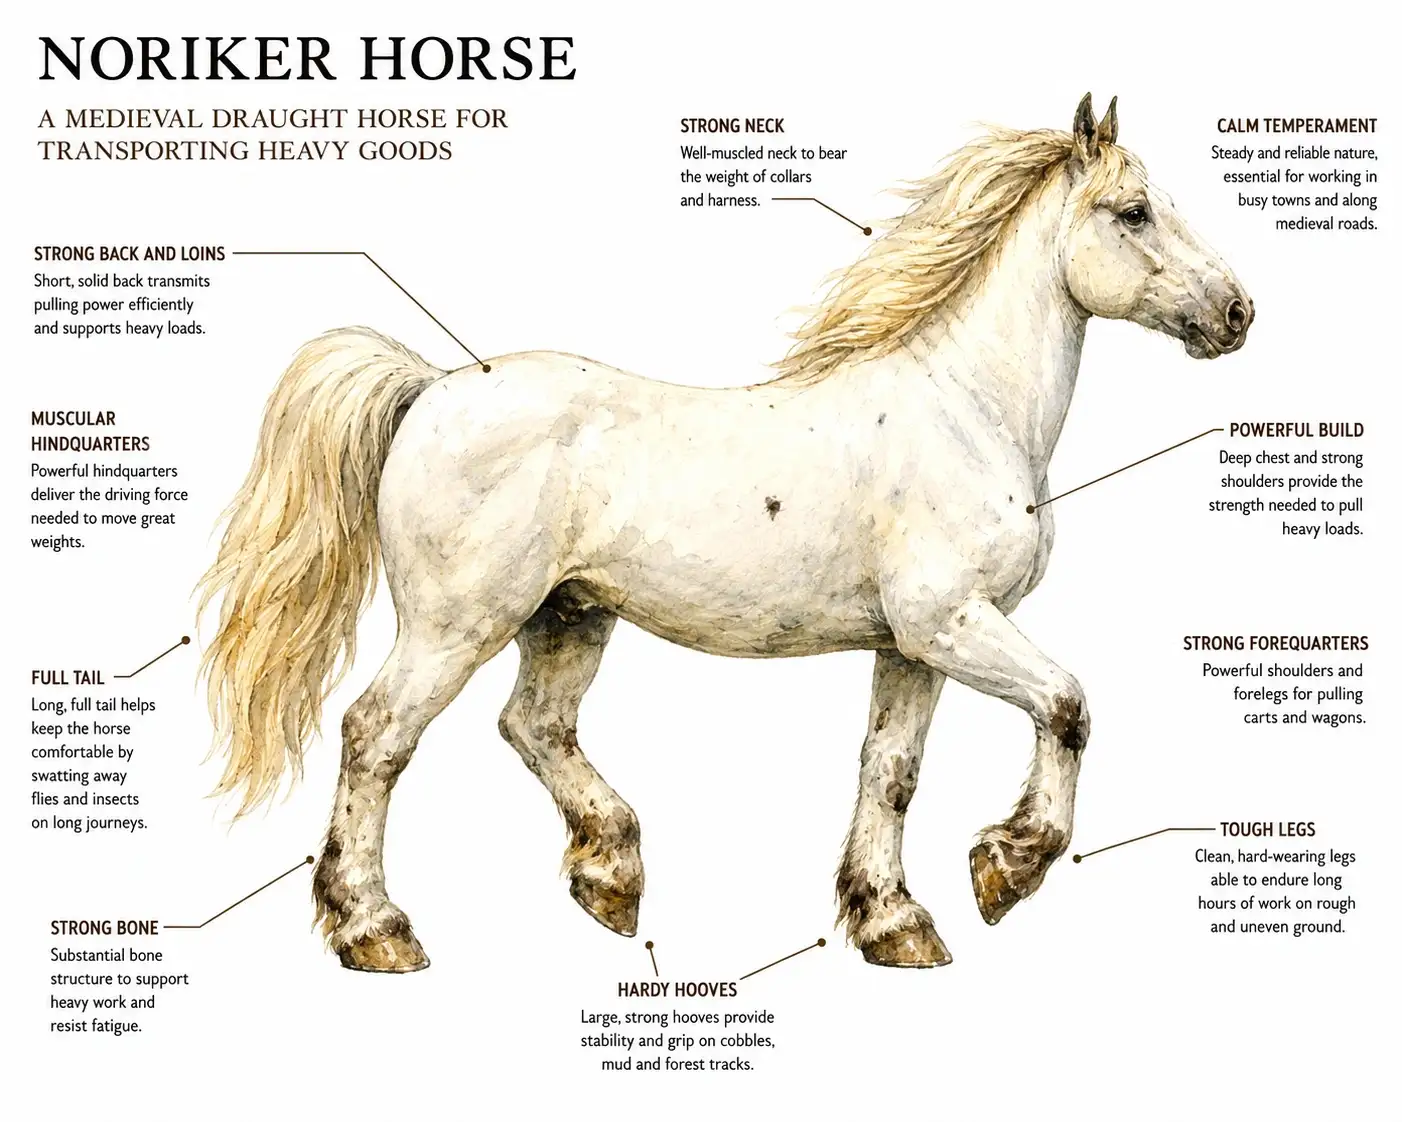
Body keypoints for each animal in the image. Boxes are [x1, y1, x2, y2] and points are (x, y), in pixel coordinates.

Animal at [198, 94, 1252, 972]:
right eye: (1133, 213)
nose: (1237, 314)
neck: (966, 408)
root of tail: (432, 389)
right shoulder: (951, 621)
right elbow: (1068, 706)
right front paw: (1007, 869)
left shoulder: (910, 645)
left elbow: (892, 771)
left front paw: (894, 925)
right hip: (458, 623)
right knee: (377, 735)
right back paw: (377, 932)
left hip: (568, 615)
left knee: (532, 725)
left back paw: (611, 878)